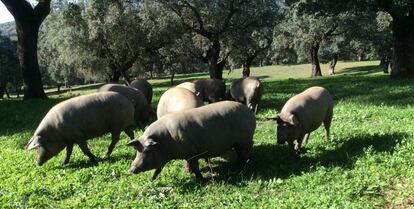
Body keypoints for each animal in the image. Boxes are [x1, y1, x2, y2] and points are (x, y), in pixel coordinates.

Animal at [126, 101, 256, 180]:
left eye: (147, 151)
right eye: (137, 151)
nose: (131, 169)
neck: (165, 141)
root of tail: (249, 111)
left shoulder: (191, 153)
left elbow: (195, 166)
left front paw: (201, 179)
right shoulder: (166, 157)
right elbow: (158, 169)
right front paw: (150, 179)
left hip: (244, 140)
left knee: (246, 152)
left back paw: (241, 168)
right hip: (238, 143)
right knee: (241, 153)